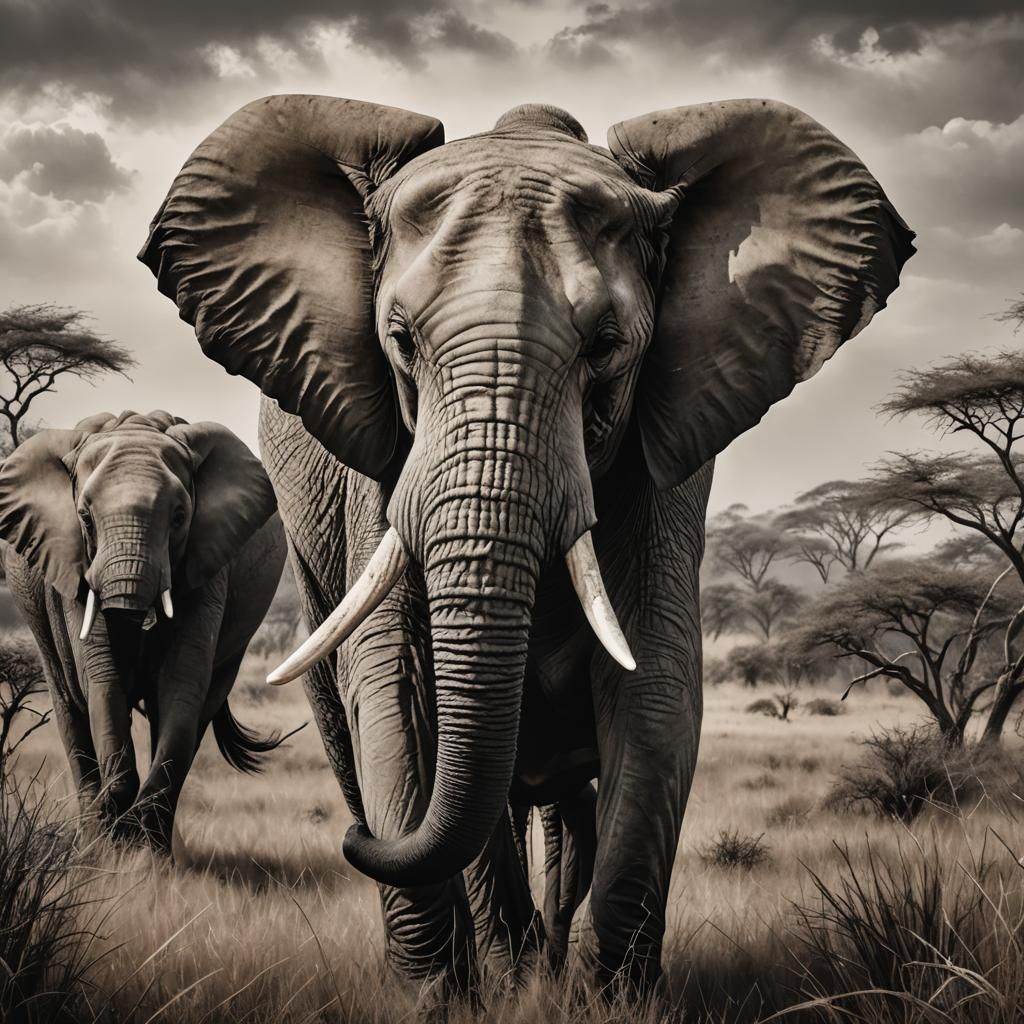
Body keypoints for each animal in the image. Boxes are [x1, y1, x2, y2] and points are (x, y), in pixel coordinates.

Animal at [0, 410, 287, 852]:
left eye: (180, 517)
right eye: (84, 518)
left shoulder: (207, 561)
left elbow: (180, 681)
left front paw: (141, 842)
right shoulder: (71, 562)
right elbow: (100, 680)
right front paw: (117, 839)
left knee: (195, 711)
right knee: (70, 708)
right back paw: (93, 846)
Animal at [139, 96, 914, 988]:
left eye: (607, 345)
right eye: (400, 342)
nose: (357, 842)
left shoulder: (665, 454)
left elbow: (654, 689)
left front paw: (610, 995)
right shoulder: (381, 464)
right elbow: (400, 693)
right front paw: (462, 993)